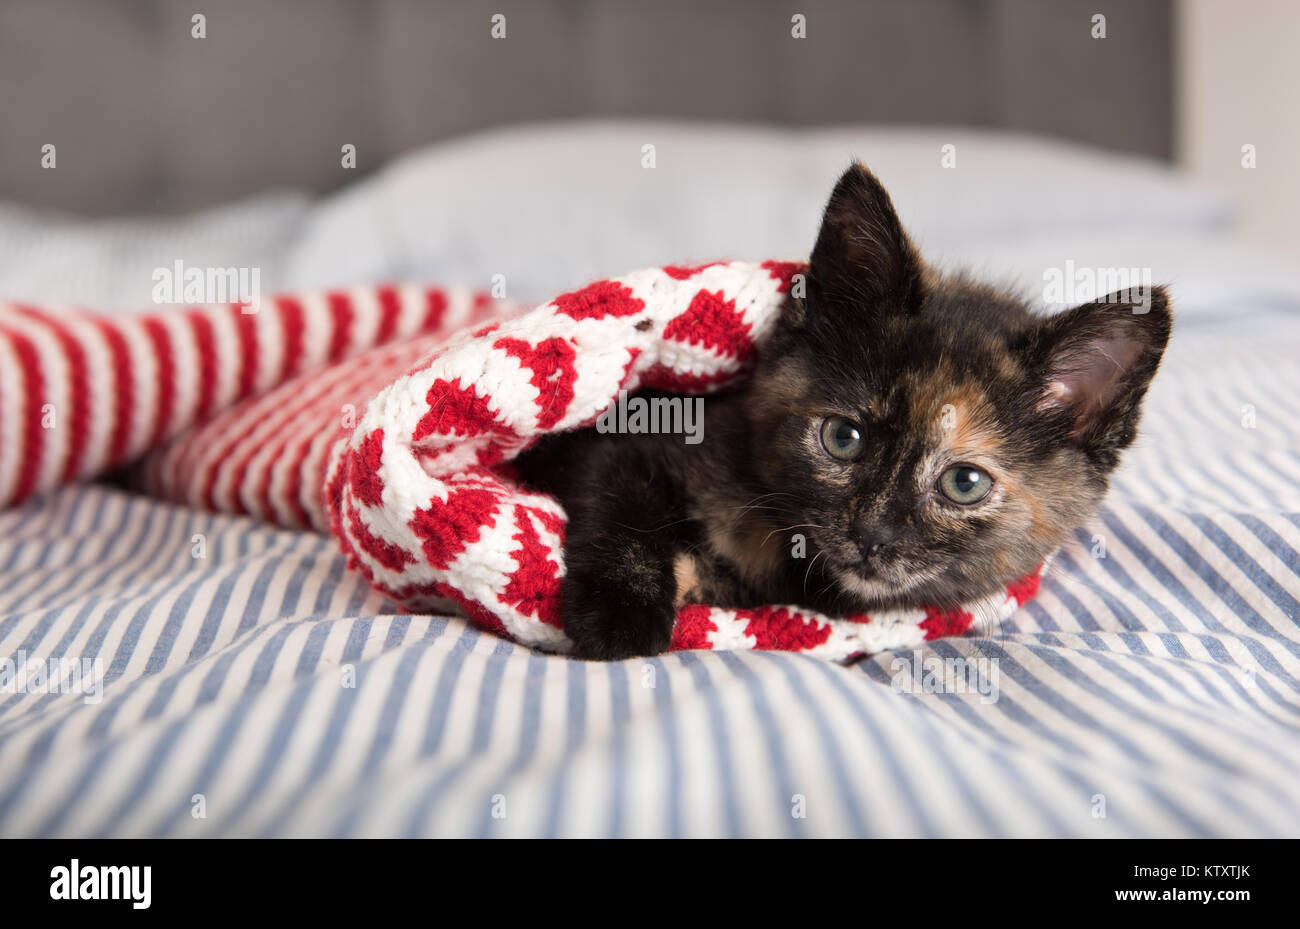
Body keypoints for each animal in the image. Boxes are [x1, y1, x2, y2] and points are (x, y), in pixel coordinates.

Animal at [512, 167, 1175, 662]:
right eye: (842, 437)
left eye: (965, 482)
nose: (872, 537)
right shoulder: (628, 432)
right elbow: (625, 507)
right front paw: (620, 617)